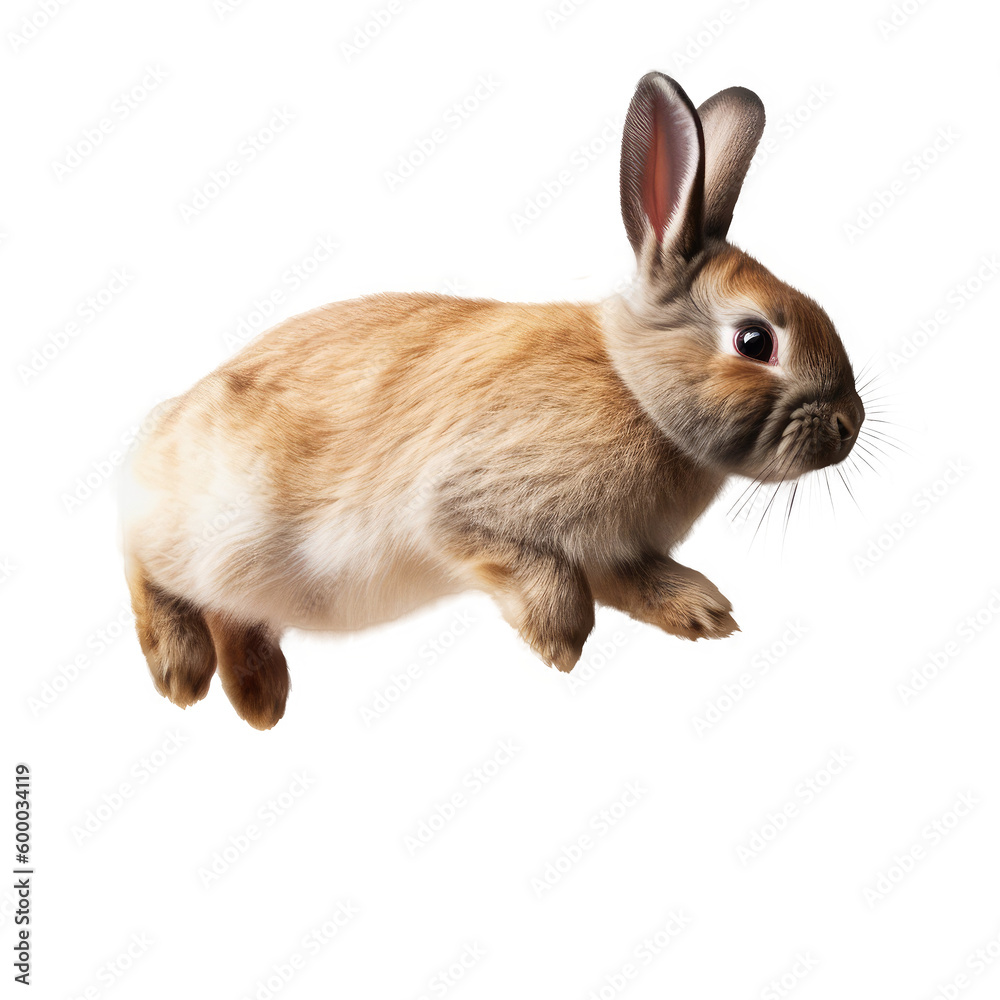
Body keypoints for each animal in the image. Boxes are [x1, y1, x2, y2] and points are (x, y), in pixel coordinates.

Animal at [121, 72, 864, 729]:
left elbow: (631, 582)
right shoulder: (465, 506)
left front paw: (705, 614)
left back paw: (259, 699)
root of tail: (160, 436)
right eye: (755, 340)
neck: (634, 389)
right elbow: (541, 575)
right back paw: (181, 673)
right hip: (218, 525)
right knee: (142, 555)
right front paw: (558, 643)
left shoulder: (615, 551)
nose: (850, 424)